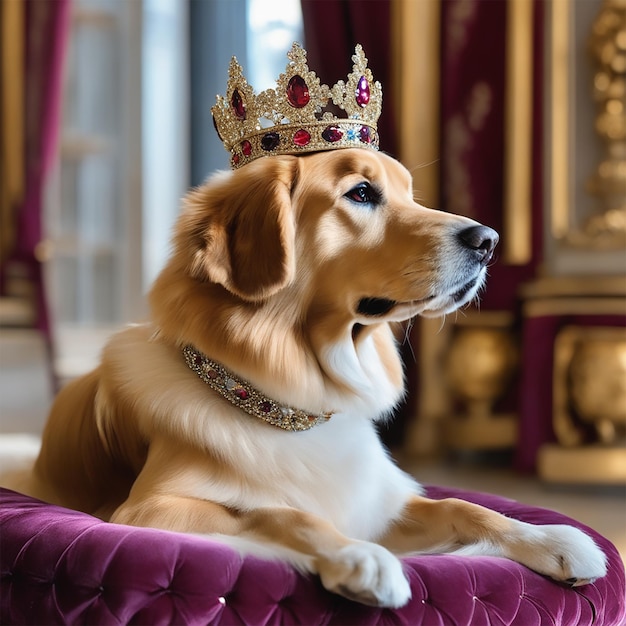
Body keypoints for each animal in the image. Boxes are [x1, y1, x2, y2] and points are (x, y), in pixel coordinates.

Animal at [3, 149, 604, 608]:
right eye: (361, 193)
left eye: (410, 194)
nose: (488, 240)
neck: (295, 402)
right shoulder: (148, 508)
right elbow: (283, 512)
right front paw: (360, 557)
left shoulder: (379, 502)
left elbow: (464, 506)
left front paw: (552, 539)